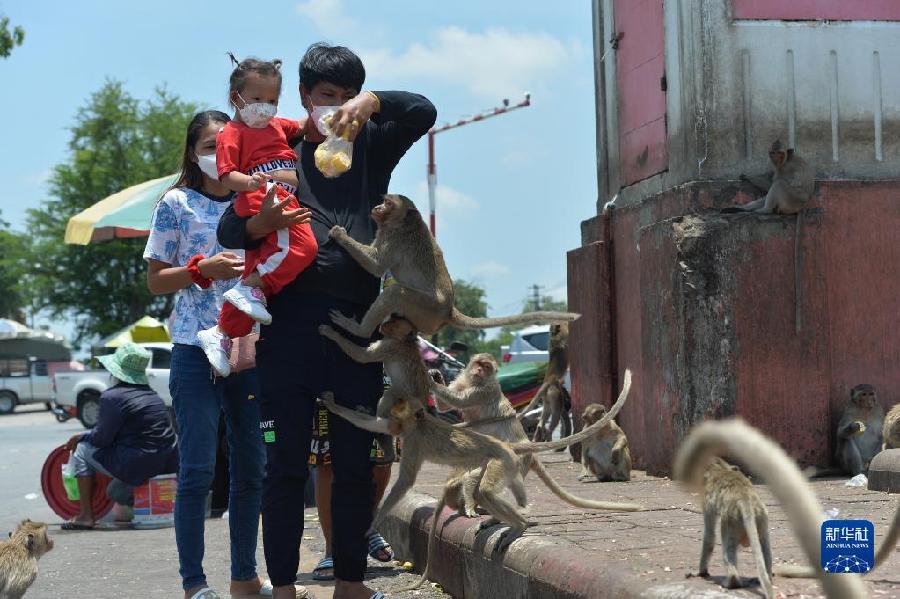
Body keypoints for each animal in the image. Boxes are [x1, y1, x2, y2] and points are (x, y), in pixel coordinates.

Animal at [318, 314, 430, 464]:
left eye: (394, 324)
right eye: (392, 320)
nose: (384, 325)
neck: (403, 340)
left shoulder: (389, 347)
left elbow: (362, 357)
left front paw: (335, 332)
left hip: (406, 403)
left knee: (389, 395)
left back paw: (388, 452)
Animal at [326, 196, 580, 340]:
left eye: (388, 203)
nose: (377, 207)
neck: (405, 223)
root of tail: (448, 310)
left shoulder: (395, 238)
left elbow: (377, 265)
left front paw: (340, 235)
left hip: (425, 308)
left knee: (395, 293)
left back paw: (358, 330)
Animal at [432, 356, 644, 516]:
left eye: (486, 367)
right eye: (478, 364)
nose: (478, 370)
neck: (475, 381)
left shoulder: (484, 391)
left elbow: (459, 400)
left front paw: (432, 382)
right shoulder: (464, 382)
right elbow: (446, 404)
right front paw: (436, 376)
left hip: (516, 460)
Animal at [672, 420, 868, 599]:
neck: (719, 469)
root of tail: (745, 502)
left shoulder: (707, 502)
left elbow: (710, 537)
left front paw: (701, 572)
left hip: (731, 521)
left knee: (726, 543)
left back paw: (732, 581)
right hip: (761, 518)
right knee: (764, 543)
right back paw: (765, 576)